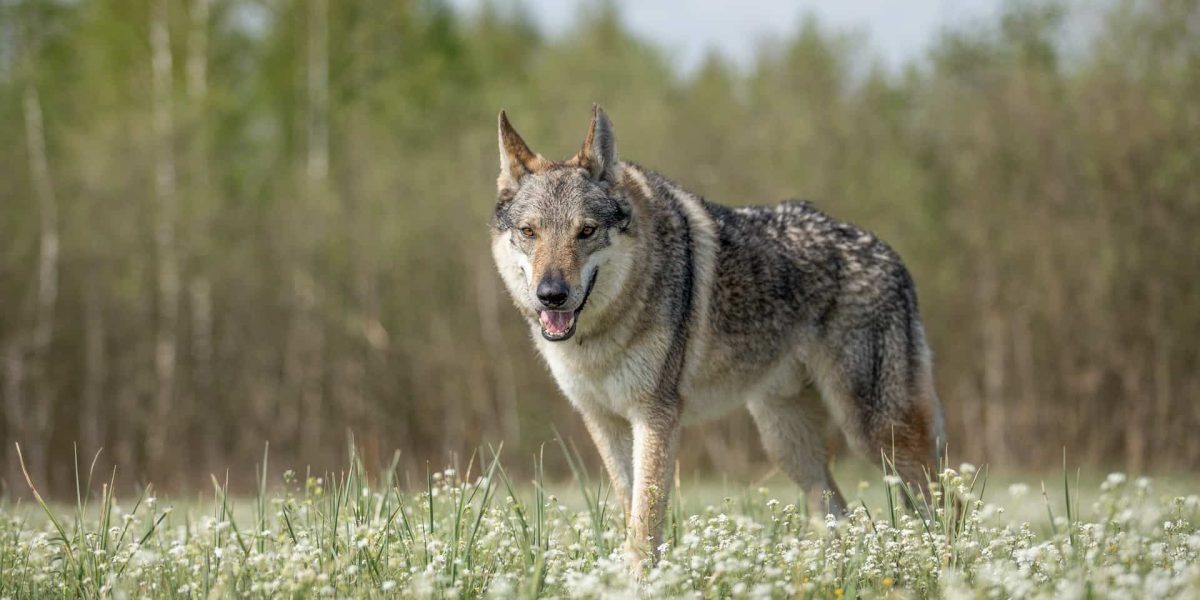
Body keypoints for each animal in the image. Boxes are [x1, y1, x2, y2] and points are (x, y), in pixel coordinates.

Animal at [490, 105, 944, 571]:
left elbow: (644, 522)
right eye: (529, 232)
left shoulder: (655, 416)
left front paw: (639, 579)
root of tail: (890, 254)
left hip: (878, 433)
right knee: (838, 509)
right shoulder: (604, 422)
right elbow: (630, 510)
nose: (552, 294)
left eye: (586, 231)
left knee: (940, 502)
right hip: (787, 443)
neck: (600, 336)